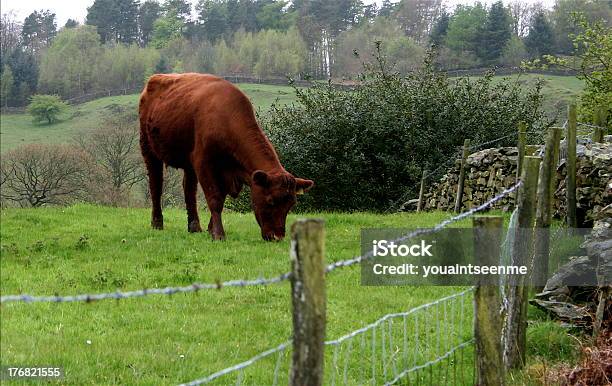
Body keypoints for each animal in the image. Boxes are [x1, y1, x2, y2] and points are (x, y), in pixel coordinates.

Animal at [138, 73, 310, 240]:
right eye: (270, 201)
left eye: (291, 205)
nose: (277, 237)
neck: (226, 119)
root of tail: (155, 79)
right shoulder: (204, 163)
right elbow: (214, 198)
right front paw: (218, 234)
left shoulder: (229, 172)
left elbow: (221, 197)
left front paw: (210, 229)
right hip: (148, 149)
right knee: (155, 185)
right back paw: (157, 223)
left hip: (188, 162)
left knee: (189, 189)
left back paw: (194, 227)